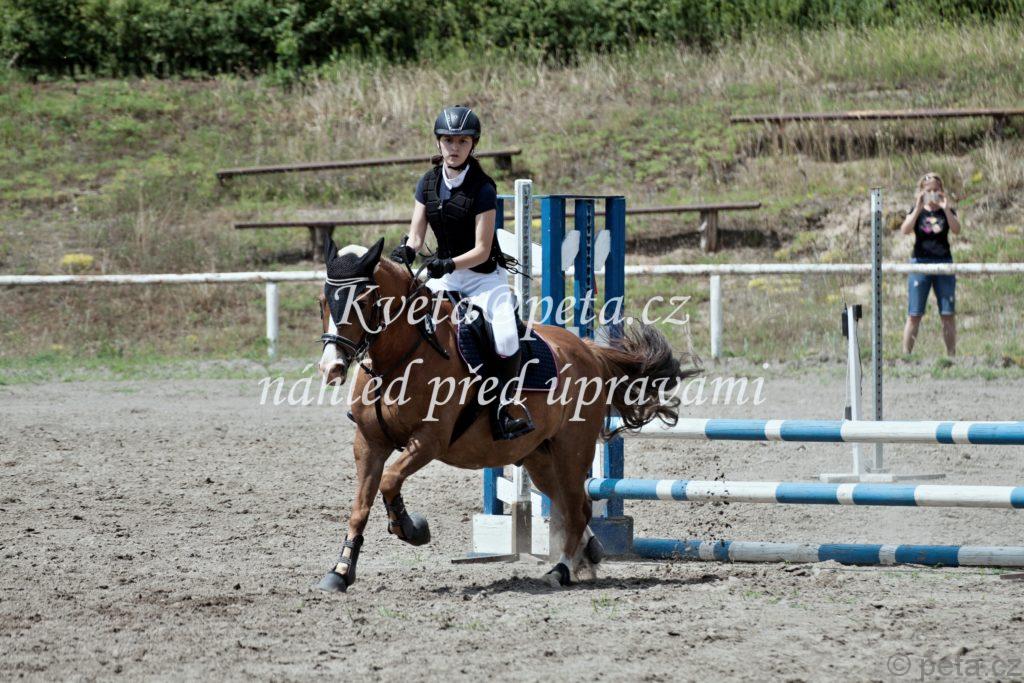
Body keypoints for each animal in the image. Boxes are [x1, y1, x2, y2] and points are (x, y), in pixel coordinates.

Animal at [315, 237, 696, 591]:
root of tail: (587, 349)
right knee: (571, 504)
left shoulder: (428, 441)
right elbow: (360, 508)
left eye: (362, 302)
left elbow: (391, 480)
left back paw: (561, 569)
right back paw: (588, 553)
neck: (399, 358)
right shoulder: (369, 443)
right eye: (323, 302)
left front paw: (411, 528)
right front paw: (341, 572)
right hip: (539, 457)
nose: (331, 368)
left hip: (572, 449)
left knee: (578, 507)